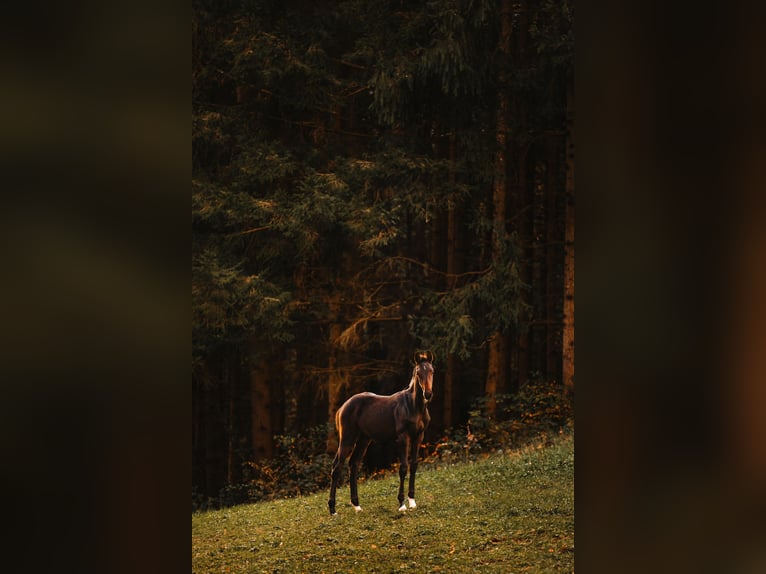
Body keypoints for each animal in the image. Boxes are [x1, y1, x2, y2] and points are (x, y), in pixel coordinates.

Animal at [330, 352, 438, 516]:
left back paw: (357, 506)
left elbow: (413, 465)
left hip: (363, 440)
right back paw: (333, 510)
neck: (414, 406)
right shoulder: (403, 438)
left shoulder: (419, 437)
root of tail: (343, 406)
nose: (428, 394)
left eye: (432, 371)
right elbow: (403, 467)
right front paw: (401, 504)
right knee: (337, 467)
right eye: (418, 372)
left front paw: (412, 501)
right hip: (347, 439)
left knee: (353, 465)